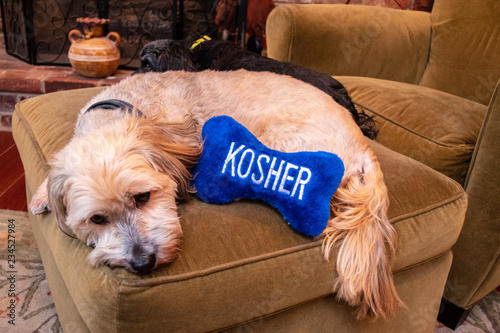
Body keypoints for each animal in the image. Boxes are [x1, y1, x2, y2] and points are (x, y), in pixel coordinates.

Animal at [29, 69, 400, 316]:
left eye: (142, 197)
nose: (143, 263)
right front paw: (42, 194)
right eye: (97, 219)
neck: (123, 108)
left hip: (278, 141)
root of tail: (362, 146)